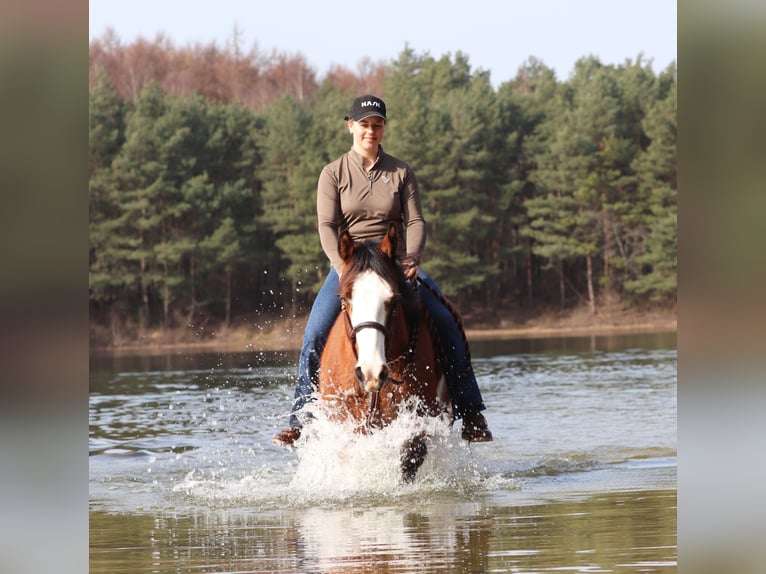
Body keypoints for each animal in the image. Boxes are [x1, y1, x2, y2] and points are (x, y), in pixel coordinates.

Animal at [316, 223, 451, 482]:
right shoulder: (346, 422)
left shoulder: (418, 416)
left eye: (393, 298)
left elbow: (410, 457)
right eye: (344, 298)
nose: (371, 372)